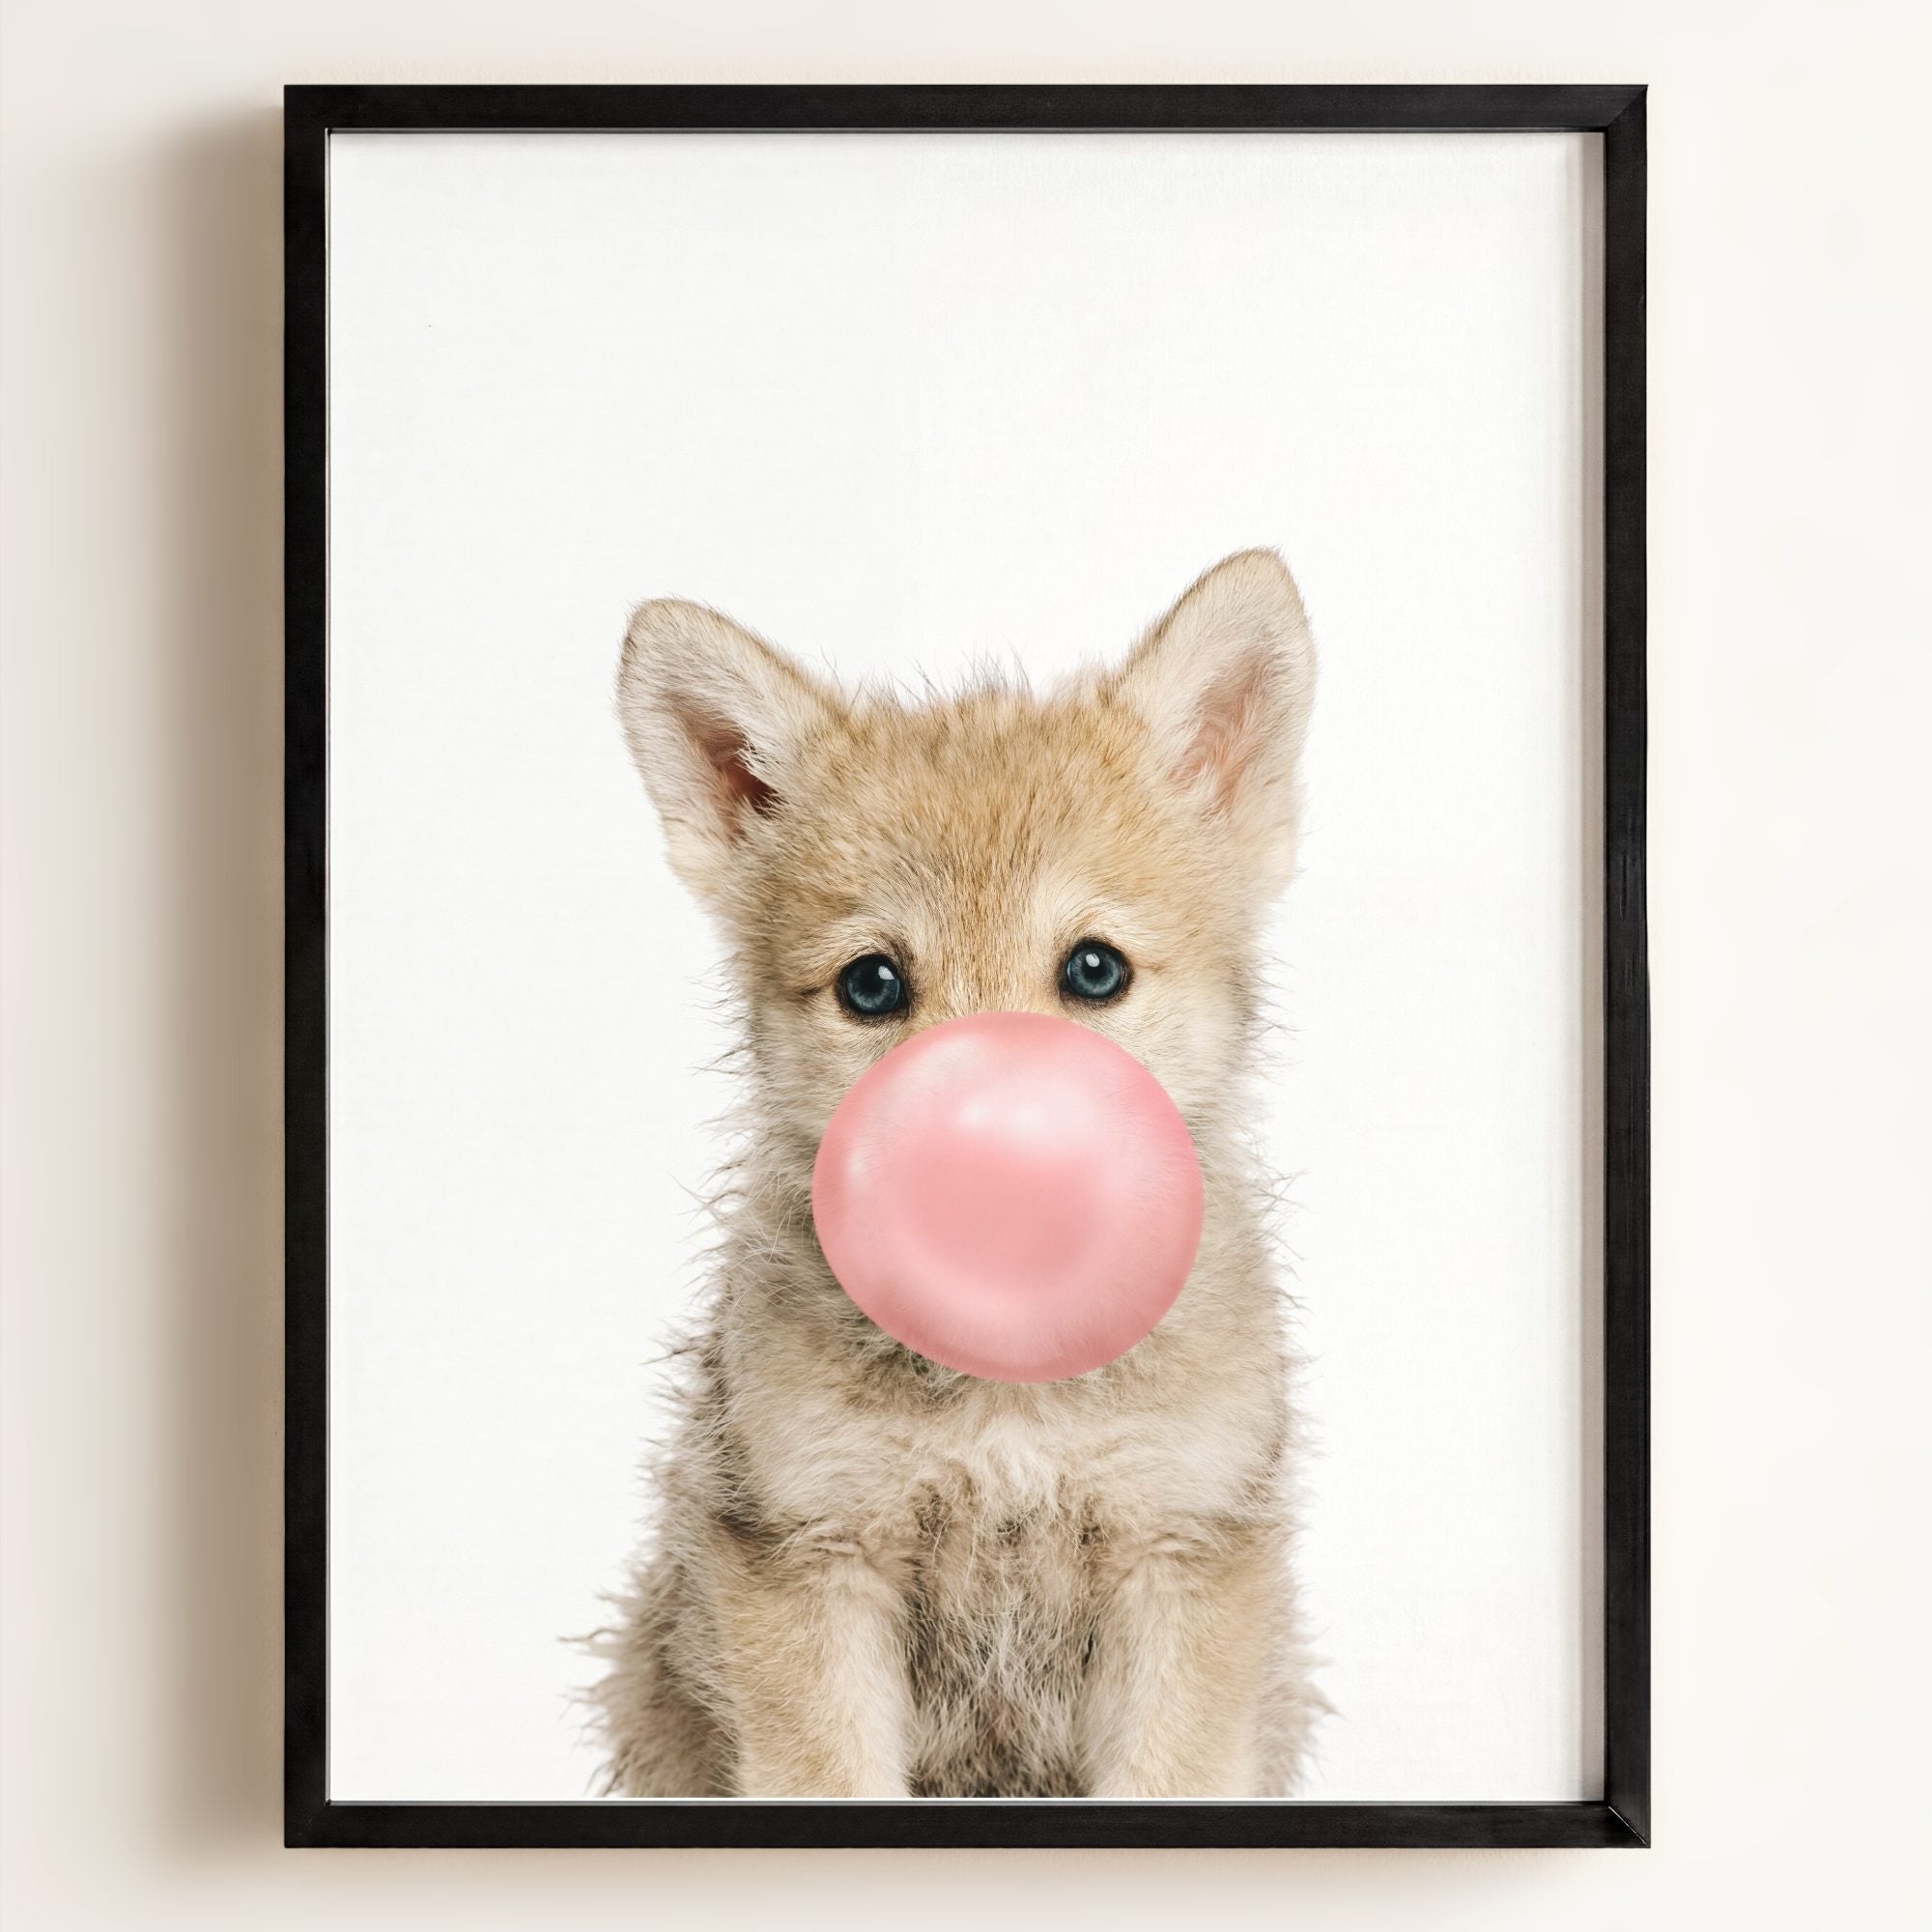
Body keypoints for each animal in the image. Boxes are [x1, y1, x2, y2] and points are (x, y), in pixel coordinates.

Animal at [591, 550, 1323, 1798]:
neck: (1007, 1390)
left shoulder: (1178, 1553)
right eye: (871, 983)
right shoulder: (812, 1557)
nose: (984, 1156)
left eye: (1093, 969)